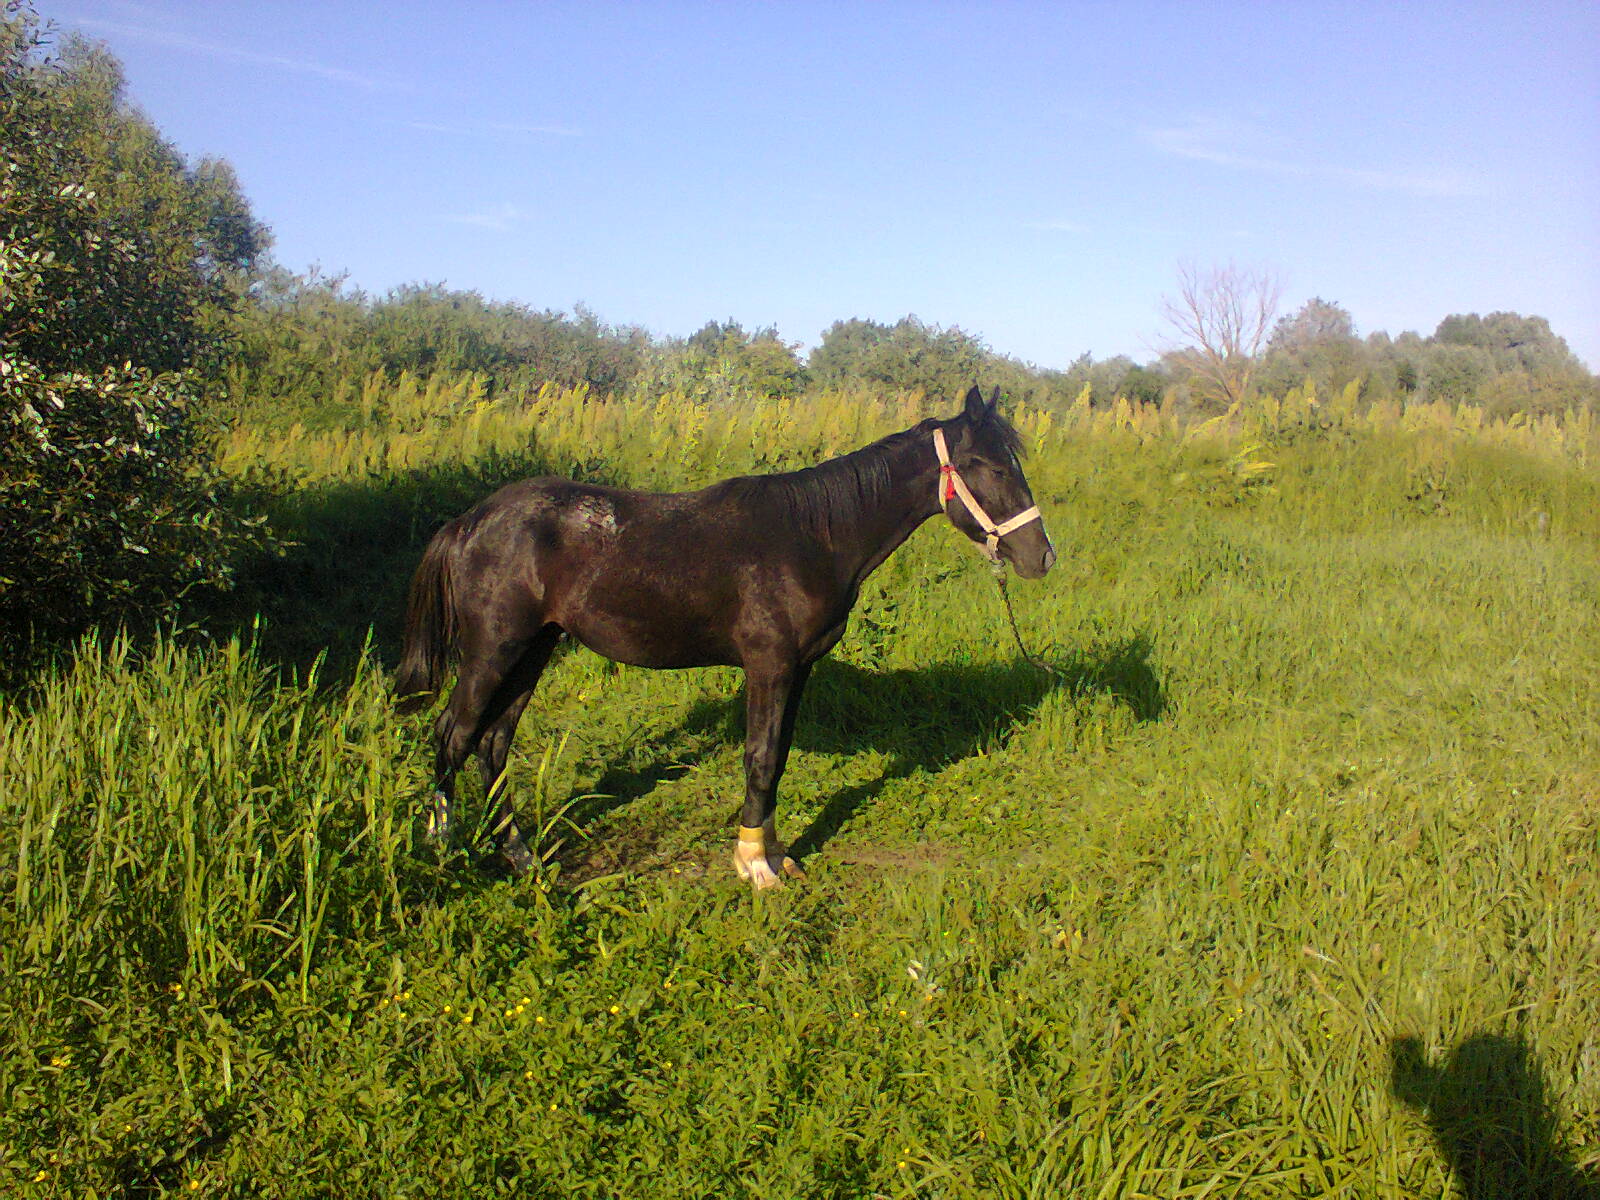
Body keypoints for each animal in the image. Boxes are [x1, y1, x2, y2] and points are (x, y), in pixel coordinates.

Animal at [393, 387, 1056, 896]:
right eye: (995, 467)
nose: (1041, 558)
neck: (812, 536)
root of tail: (470, 522)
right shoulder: (769, 666)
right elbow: (759, 757)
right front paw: (754, 864)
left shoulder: (800, 669)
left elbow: (778, 757)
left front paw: (776, 852)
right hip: (493, 650)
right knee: (453, 734)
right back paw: (441, 848)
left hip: (535, 649)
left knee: (493, 743)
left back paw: (520, 855)